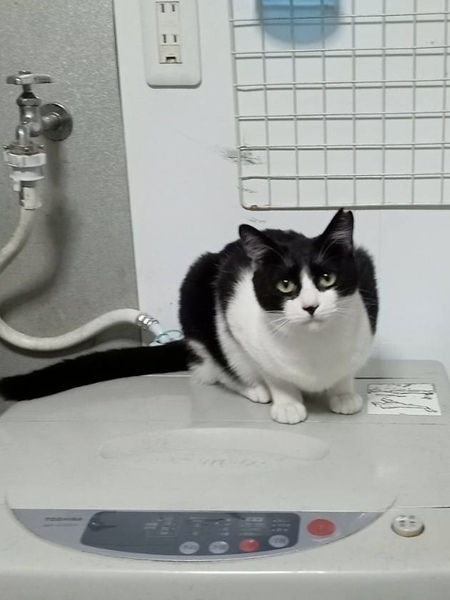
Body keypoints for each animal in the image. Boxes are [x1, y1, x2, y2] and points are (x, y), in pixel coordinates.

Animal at [0, 209, 378, 424]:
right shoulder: (236, 319)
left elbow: (347, 372)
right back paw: (252, 388)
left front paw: (343, 394)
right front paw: (285, 401)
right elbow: (273, 373)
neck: (315, 348)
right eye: (285, 285)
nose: (310, 307)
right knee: (217, 366)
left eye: (326, 278)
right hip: (195, 286)